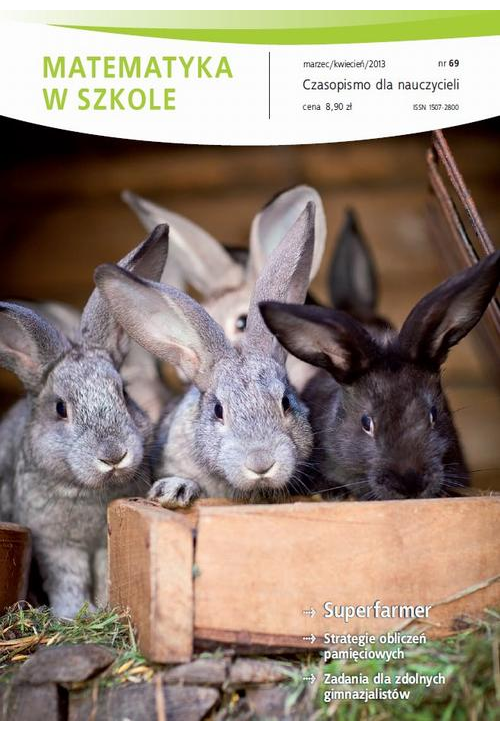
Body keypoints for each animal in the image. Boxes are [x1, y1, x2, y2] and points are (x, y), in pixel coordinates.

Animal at [0, 225, 169, 617]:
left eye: (123, 392)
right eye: (61, 408)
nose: (113, 455)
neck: (88, 491)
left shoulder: (103, 543)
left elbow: (106, 573)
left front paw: (104, 608)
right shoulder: (56, 545)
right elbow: (68, 580)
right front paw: (72, 614)